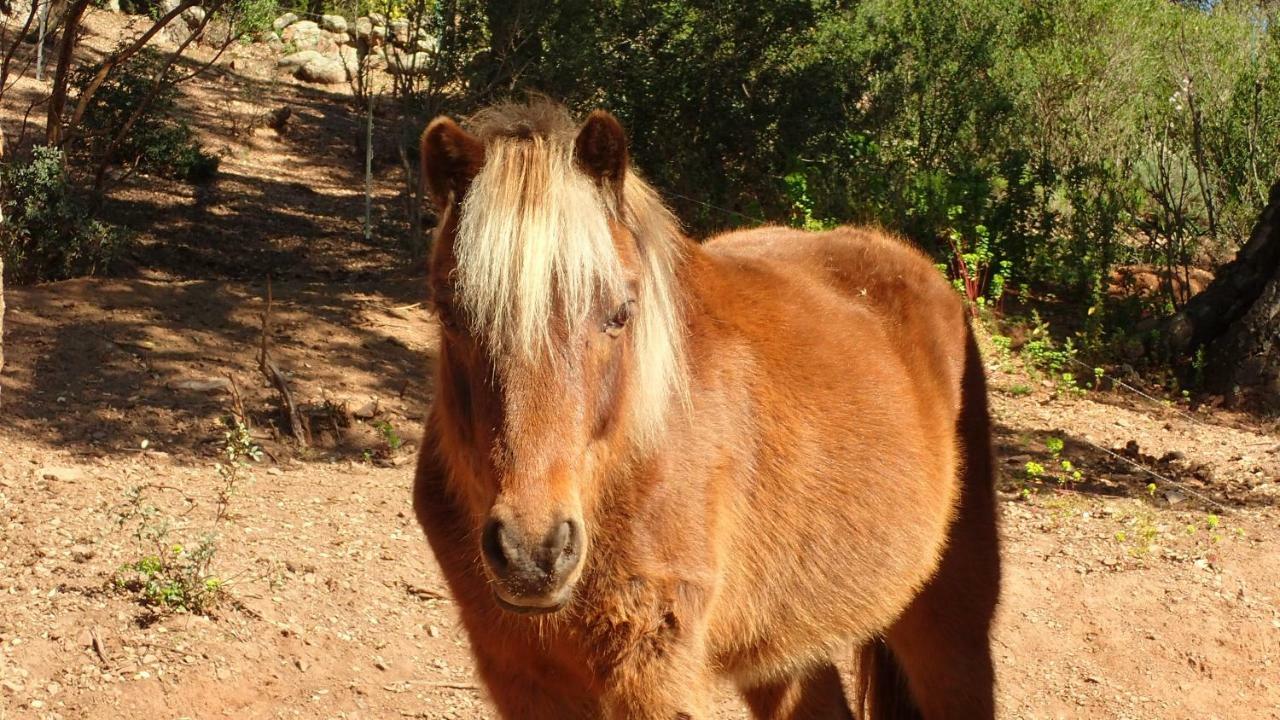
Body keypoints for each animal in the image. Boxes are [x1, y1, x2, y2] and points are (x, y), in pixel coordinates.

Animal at [409, 96, 998, 717]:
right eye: (449, 314)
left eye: (620, 313)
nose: (533, 553)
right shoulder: (519, 674)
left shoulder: (653, 675)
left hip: (948, 627)